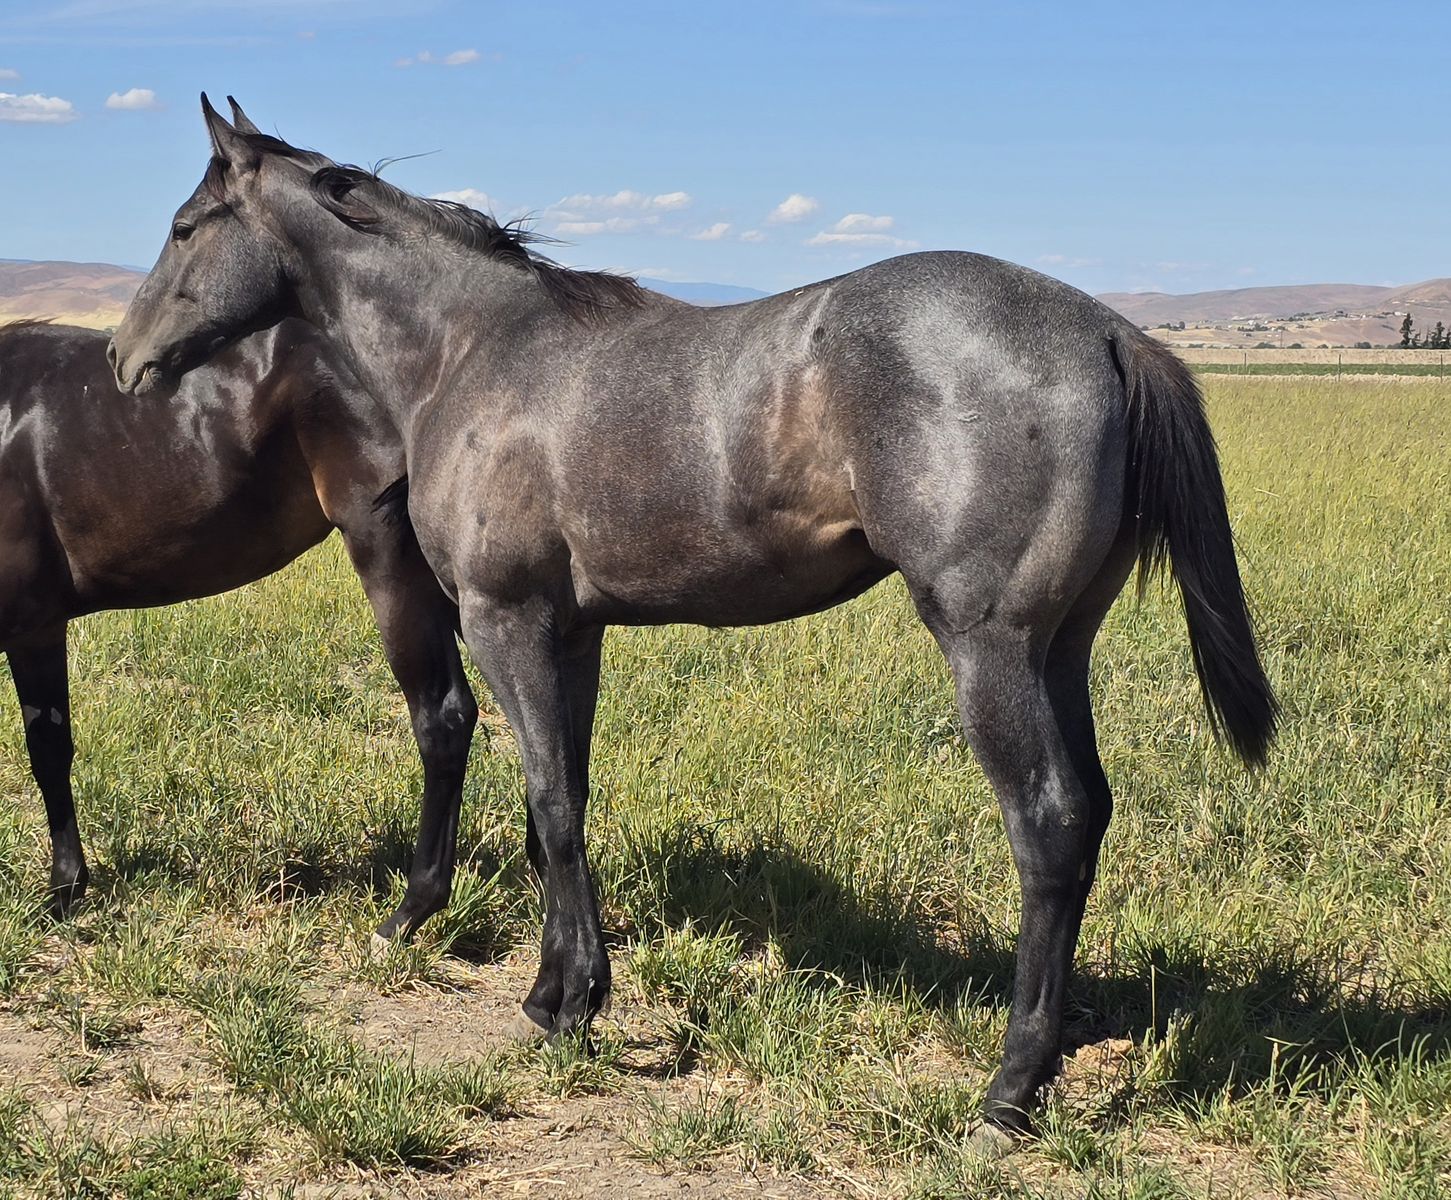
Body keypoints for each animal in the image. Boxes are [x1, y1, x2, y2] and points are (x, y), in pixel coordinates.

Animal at [0, 316, 475, 945]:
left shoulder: (28, 626)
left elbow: (45, 751)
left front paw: (61, 893)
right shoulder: (37, 628)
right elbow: (51, 749)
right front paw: (69, 886)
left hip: (392, 555)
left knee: (444, 717)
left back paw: (411, 911)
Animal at [108, 95, 1277, 1135]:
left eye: (182, 227)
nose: (124, 360)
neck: (472, 351)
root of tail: (1109, 333)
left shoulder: (503, 621)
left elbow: (550, 805)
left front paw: (568, 1006)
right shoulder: (571, 633)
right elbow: (559, 806)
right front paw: (560, 989)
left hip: (988, 650)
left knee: (1048, 825)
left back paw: (1007, 1093)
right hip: (1059, 650)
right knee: (1090, 815)